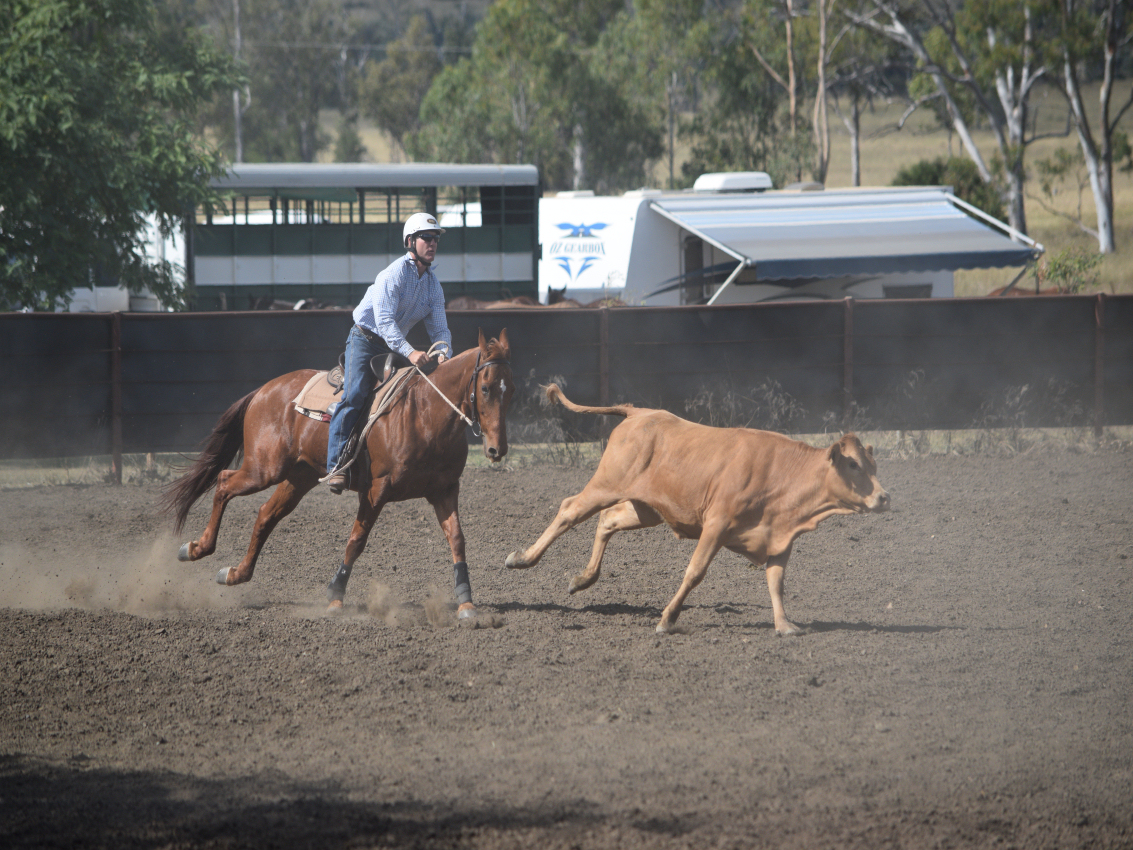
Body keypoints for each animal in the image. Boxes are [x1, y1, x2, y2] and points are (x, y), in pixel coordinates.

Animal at [160, 329, 514, 618]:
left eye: (509, 391)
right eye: (485, 388)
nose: (497, 449)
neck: (425, 414)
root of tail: (263, 390)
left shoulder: (445, 490)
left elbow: (457, 539)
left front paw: (466, 602)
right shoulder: (376, 491)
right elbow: (356, 541)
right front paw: (334, 597)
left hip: (298, 476)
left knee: (265, 515)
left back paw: (235, 573)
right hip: (264, 469)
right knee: (223, 483)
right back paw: (196, 548)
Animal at [505, 384, 891, 635]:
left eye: (873, 464)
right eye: (853, 464)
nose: (884, 497)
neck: (782, 473)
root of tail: (640, 412)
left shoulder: (780, 538)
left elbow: (776, 581)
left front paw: (784, 625)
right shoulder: (717, 525)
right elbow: (695, 572)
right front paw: (667, 620)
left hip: (646, 509)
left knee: (608, 520)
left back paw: (583, 578)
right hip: (605, 484)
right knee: (570, 510)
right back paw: (522, 558)